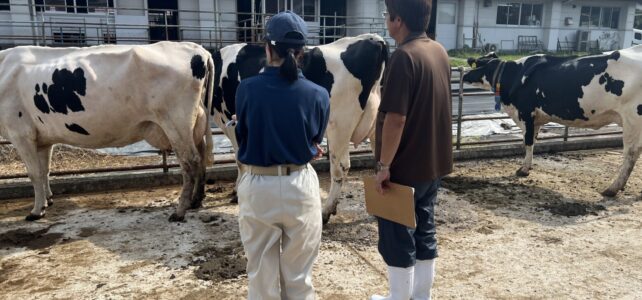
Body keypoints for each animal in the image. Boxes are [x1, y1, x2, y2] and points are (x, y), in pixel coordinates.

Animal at [0, 41, 215, 220]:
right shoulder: (43, 138)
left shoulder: (21, 133)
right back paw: (196, 200)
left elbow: (34, 173)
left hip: (175, 123)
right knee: (200, 156)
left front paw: (36, 211)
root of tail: (199, 49)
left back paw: (180, 211)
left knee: (190, 162)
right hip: (194, 123)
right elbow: (45, 170)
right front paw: (48, 200)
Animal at [210, 34, 384, 224]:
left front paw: (237, 192)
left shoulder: (232, 122)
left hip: (340, 125)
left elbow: (240, 162)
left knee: (341, 167)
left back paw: (326, 211)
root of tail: (373, 39)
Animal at [460, 46, 640, 197]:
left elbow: (527, 142)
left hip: (632, 120)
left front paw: (523, 170)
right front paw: (528, 166)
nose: (464, 74)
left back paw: (613, 188)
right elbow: (533, 141)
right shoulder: (536, 119)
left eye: (478, 64)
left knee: (631, 153)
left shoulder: (526, 113)